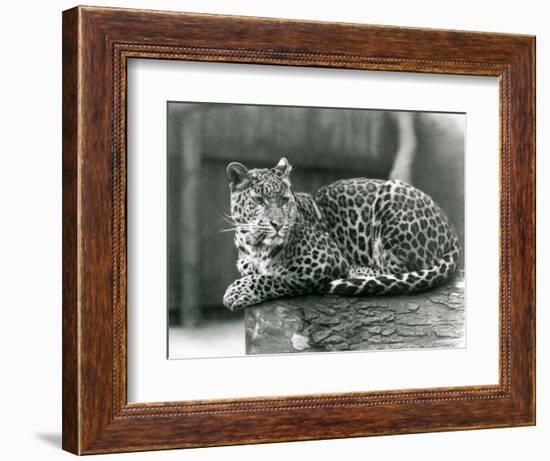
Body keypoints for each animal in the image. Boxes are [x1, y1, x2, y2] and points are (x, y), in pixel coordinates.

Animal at [223, 156, 462, 310]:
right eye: (259, 200)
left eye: (284, 200)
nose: (278, 224)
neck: (254, 244)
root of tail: (452, 232)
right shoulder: (245, 262)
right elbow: (257, 271)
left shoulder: (322, 262)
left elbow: (275, 277)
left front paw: (237, 291)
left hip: (391, 195)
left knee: (399, 271)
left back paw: (356, 270)